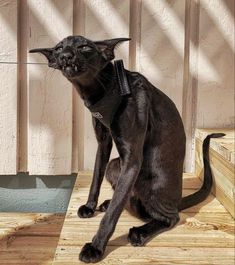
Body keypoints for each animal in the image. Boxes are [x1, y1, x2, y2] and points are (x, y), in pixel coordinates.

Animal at [29, 35, 224, 262]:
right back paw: (107, 203)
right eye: (59, 47)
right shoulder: (104, 143)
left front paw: (96, 247)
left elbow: (112, 214)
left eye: (85, 46)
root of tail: (177, 200)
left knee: (171, 218)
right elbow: (96, 178)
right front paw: (90, 206)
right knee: (127, 198)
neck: (105, 88)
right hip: (115, 166)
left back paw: (139, 232)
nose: (65, 56)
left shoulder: (132, 159)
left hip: (151, 185)